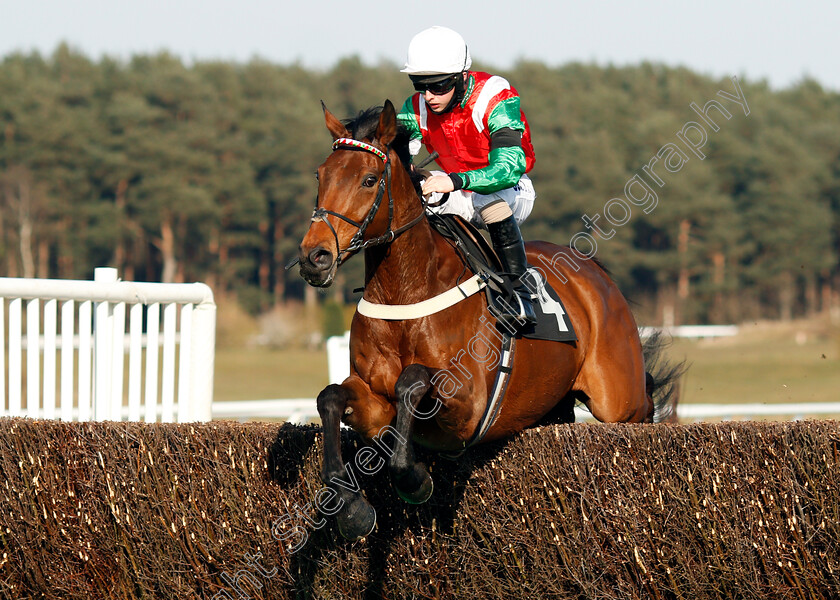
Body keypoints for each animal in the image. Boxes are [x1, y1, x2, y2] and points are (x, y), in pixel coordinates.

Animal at [298, 101, 680, 540]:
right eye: (320, 175)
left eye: (369, 179)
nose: (314, 257)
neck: (406, 292)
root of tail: (595, 271)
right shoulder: (375, 405)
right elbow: (330, 397)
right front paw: (349, 507)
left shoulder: (468, 406)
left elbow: (413, 381)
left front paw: (414, 479)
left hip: (618, 400)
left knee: (643, 406)